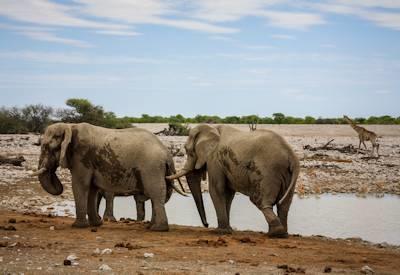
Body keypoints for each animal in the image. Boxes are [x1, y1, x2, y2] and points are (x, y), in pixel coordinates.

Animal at [32, 124, 186, 232]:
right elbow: (92, 189)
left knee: (155, 192)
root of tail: (167, 153)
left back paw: (157, 229)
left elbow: (80, 185)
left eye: (47, 147)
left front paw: (78, 226)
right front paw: (96, 224)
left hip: (151, 167)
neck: (69, 126)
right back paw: (151, 227)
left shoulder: (82, 156)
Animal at [166, 125, 300, 237]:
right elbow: (228, 193)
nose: (207, 225)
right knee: (284, 205)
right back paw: (281, 233)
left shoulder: (215, 159)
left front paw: (220, 232)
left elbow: (216, 189)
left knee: (260, 201)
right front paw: (228, 230)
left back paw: (275, 233)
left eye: (188, 151)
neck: (212, 129)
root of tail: (291, 155)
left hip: (268, 171)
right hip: (286, 174)